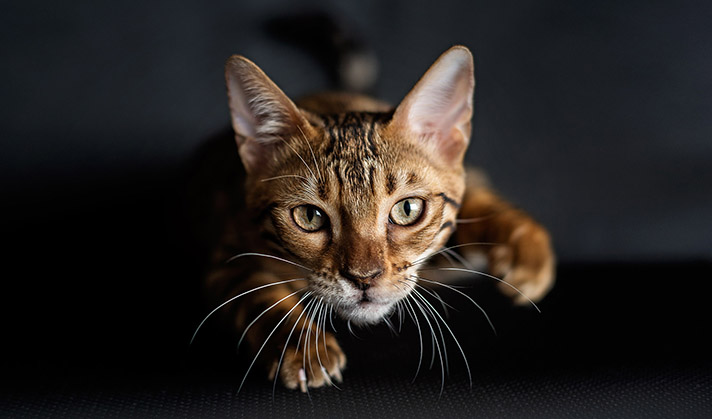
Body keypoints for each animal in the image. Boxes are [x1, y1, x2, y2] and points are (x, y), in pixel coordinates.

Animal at [195, 46, 556, 394]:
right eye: (310, 216)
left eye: (407, 209)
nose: (363, 278)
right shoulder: (224, 255)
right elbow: (258, 296)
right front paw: (302, 347)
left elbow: (477, 199)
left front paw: (528, 253)